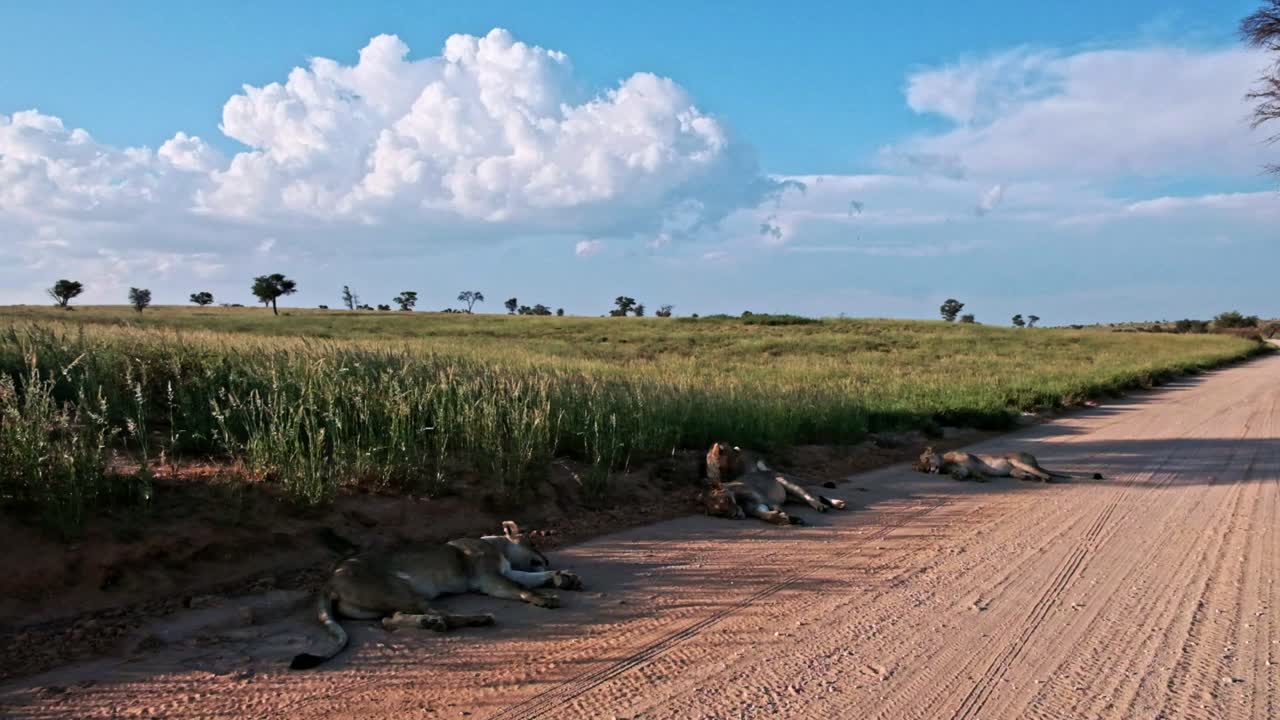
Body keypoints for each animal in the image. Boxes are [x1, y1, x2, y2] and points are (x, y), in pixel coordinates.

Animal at [289, 521, 582, 670]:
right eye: (532, 542)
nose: (546, 559)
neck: (496, 544)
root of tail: (330, 580)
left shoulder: (506, 571)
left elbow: (530, 579)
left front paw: (563, 577)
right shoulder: (489, 578)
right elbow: (524, 588)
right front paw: (546, 598)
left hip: (390, 600)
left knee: (389, 620)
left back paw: (430, 623)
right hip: (402, 589)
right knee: (433, 613)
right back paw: (476, 618)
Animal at [701, 442, 848, 525]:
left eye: (726, 500)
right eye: (721, 512)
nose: (735, 515)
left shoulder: (768, 501)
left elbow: (780, 509)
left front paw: (790, 518)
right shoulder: (757, 508)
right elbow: (767, 516)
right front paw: (784, 519)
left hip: (788, 484)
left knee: (811, 497)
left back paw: (827, 505)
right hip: (791, 497)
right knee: (815, 497)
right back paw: (834, 503)